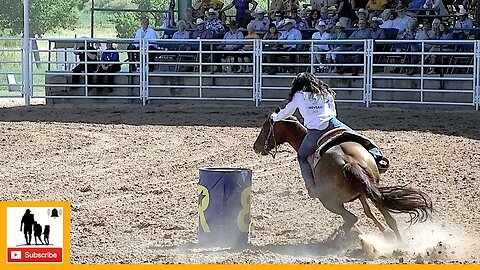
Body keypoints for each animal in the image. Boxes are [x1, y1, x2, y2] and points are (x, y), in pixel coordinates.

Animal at [253, 108, 434, 242]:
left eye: (265, 126)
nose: (256, 146)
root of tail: (349, 162)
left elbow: (359, 216)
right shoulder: (362, 193)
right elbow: (368, 212)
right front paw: (383, 232)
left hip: (329, 202)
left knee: (351, 219)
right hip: (372, 189)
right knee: (389, 218)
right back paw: (399, 243)